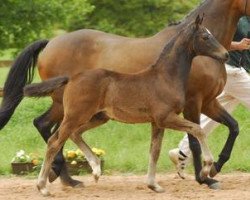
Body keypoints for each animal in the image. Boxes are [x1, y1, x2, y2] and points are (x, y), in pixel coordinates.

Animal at [24, 16, 229, 197]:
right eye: (205, 37)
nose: (225, 54)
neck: (165, 77)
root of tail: (71, 78)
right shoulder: (166, 117)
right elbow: (197, 130)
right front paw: (207, 169)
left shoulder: (157, 123)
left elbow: (154, 151)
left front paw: (154, 185)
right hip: (75, 116)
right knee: (54, 141)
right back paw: (43, 187)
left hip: (98, 117)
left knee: (74, 134)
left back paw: (95, 169)